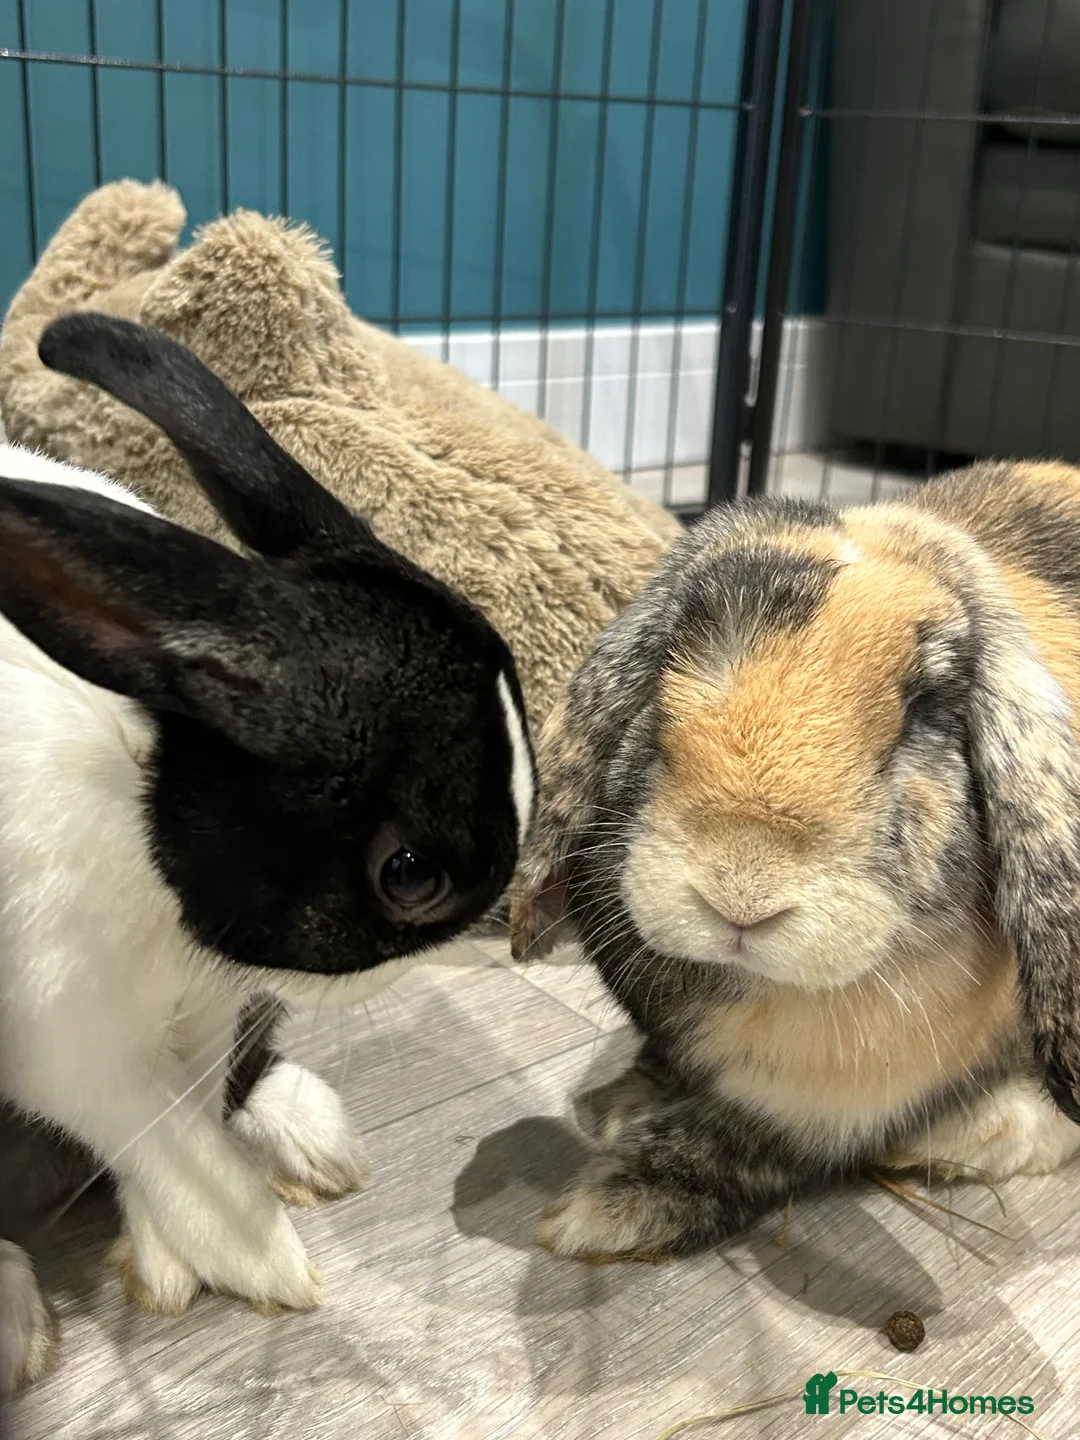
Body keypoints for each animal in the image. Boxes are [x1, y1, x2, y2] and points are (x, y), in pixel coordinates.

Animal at [0, 312, 535, 1393]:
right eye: (409, 875)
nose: (504, 904)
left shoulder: (203, 1009)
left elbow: (193, 1115)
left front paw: (166, 1253)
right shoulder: (66, 1041)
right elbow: (168, 1142)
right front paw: (258, 1263)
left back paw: (311, 1138)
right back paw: (13, 1323)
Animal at [510, 460, 1080, 1263]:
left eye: (928, 713)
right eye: (666, 668)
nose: (739, 894)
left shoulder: (825, 1111)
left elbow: (740, 1151)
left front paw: (602, 1213)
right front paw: (630, 1104)